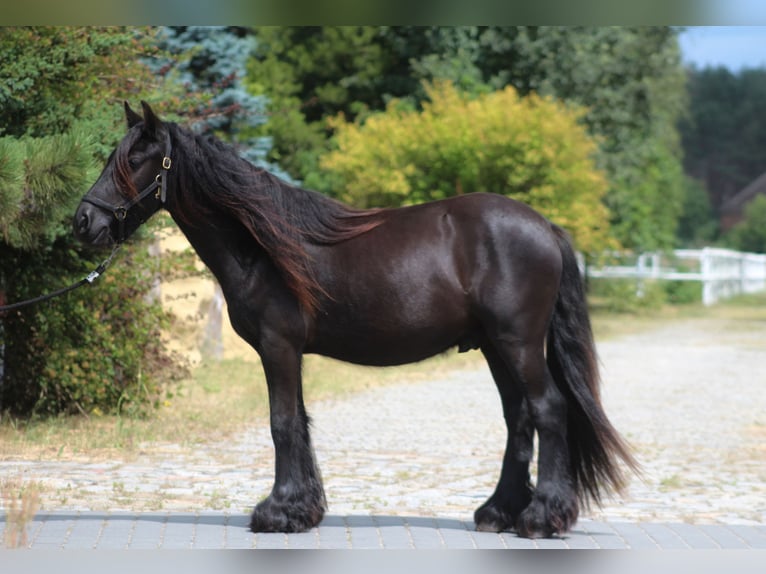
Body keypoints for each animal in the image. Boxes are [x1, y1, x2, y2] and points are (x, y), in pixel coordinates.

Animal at [73, 101, 638, 539]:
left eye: (135, 160)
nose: (84, 222)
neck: (263, 246)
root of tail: (545, 226)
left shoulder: (278, 347)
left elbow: (281, 423)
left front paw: (275, 513)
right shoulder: (290, 352)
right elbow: (299, 422)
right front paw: (302, 511)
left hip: (518, 343)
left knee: (548, 410)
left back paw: (541, 518)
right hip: (496, 348)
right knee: (518, 419)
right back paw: (498, 513)